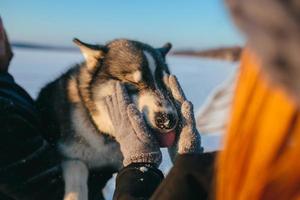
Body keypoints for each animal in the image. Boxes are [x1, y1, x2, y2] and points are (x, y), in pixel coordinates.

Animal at [36, 39, 179, 200]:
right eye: (132, 82)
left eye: (166, 84)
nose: (168, 120)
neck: (103, 133)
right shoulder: (71, 156)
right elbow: (78, 176)